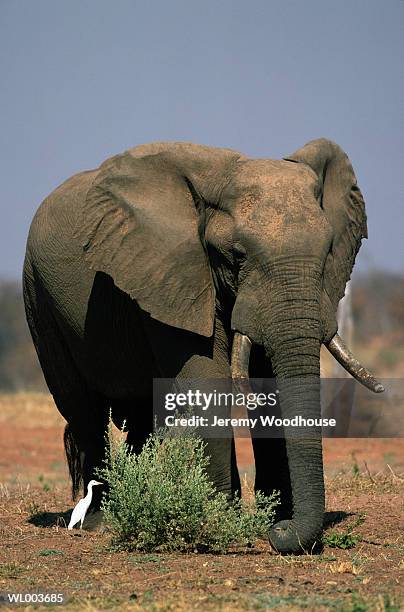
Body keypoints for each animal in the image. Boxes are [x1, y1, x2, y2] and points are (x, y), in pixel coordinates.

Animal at [23, 140, 384, 556]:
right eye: (237, 256)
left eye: (328, 253)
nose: (280, 535)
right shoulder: (174, 276)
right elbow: (210, 381)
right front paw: (223, 522)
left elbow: (268, 387)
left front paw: (270, 518)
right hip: (39, 299)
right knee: (82, 409)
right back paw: (99, 521)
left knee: (141, 418)